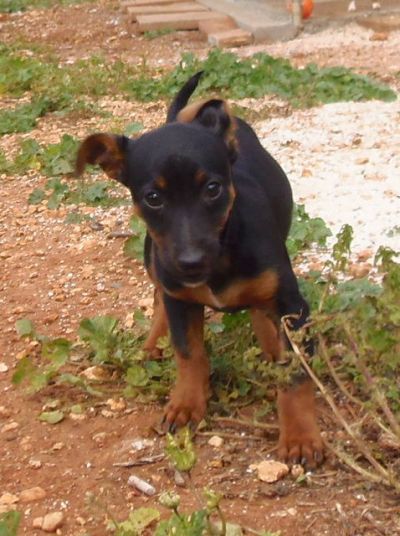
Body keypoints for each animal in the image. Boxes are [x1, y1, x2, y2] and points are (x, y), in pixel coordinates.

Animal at [76, 72, 323, 468]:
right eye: (153, 198)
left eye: (212, 189)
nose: (191, 262)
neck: (224, 249)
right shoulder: (180, 297)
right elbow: (189, 352)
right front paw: (186, 403)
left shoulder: (293, 308)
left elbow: (295, 374)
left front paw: (300, 437)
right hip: (154, 260)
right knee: (158, 297)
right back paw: (153, 344)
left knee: (261, 314)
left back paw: (270, 343)